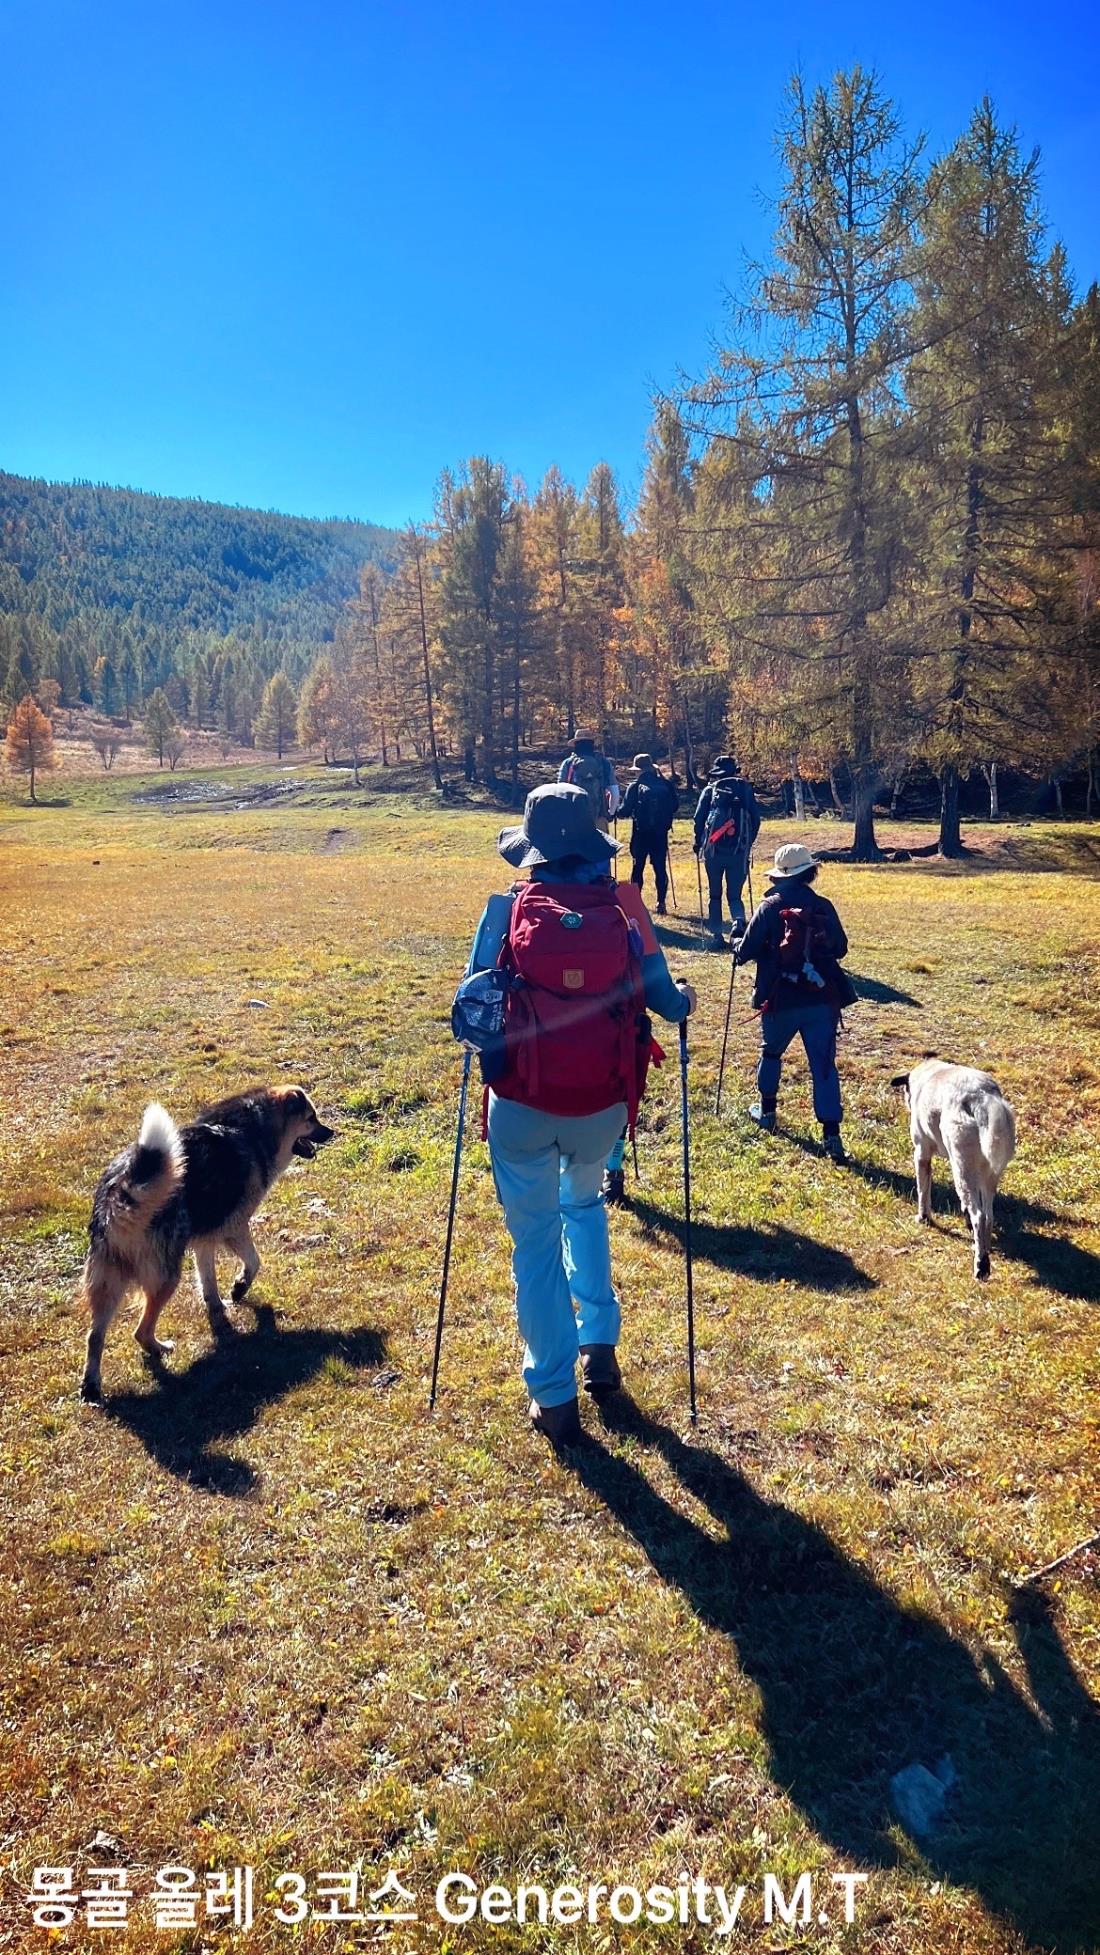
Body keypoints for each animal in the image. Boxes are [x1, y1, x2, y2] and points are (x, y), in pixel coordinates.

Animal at [79, 1086, 335, 1400]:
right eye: (311, 1118)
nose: (332, 1132)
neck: (252, 1128)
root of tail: (122, 1191)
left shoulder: (204, 1241)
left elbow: (208, 1279)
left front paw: (218, 1305)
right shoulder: (234, 1227)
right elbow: (253, 1261)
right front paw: (239, 1288)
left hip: (108, 1280)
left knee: (94, 1335)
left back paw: (91, 1385)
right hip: (165, 1276)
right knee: (140, 1330)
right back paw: (160, 1349)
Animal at [891, 1059, 1016, 1280]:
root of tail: (981, 1096)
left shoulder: (921, 1154)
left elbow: (923, 1191)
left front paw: (923, 1218)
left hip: (963, 1169)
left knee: (979, 1216)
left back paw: (981, 1265)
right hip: (986, 1175)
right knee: (988, 1215)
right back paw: (982, 1250)